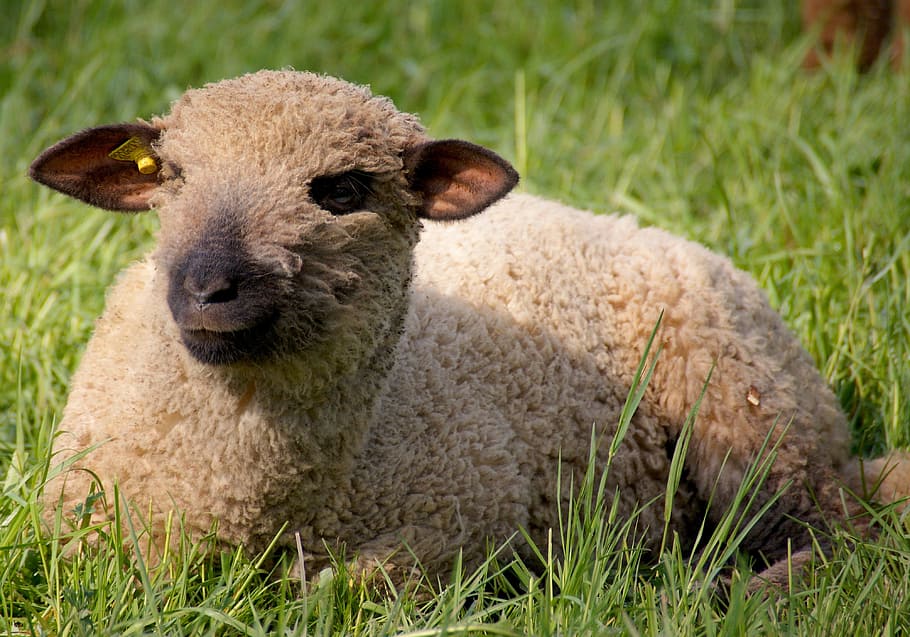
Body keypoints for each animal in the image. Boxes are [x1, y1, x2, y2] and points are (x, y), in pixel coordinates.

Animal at [30, 69, 909, 589]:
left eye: (342, 190)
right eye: (170, 177)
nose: (209, 288)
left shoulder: (470, 515)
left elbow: (347, 590)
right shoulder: (83, 535)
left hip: (751, 413)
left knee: (839, 539)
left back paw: (708, 592)